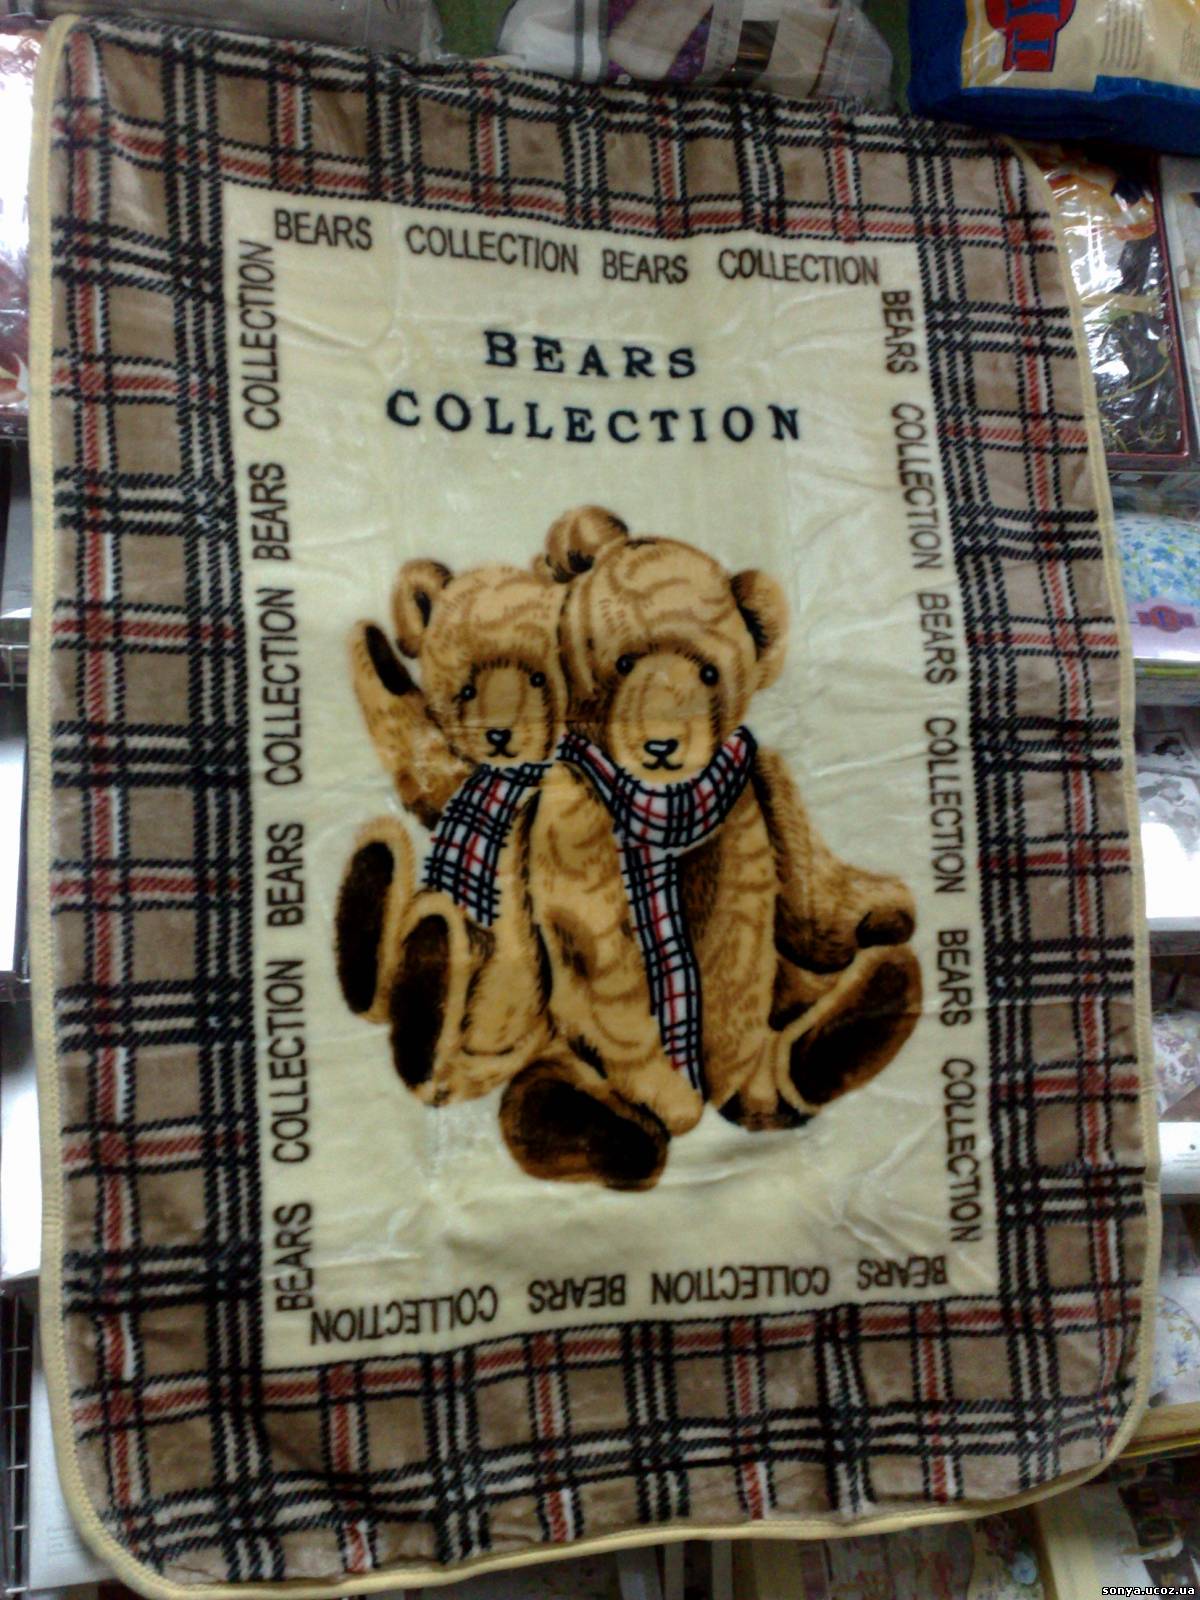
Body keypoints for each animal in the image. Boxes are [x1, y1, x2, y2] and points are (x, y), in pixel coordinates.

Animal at [335, 557, 572, 1106]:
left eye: (538, 677)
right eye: (465, 688)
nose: (499, 734)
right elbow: (418, 752)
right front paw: (378, 657)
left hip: (507, 995)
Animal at [496, 509, 922, 1188]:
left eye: (708, 672)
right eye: (622, 663)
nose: (662, 745)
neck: (661, 806)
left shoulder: (746, 822)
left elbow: (743, 937)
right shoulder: (573, 830)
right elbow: (600, 958)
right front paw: (673, 1103)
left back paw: (837, 1033)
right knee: (540, 1094)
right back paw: (611, 1130)